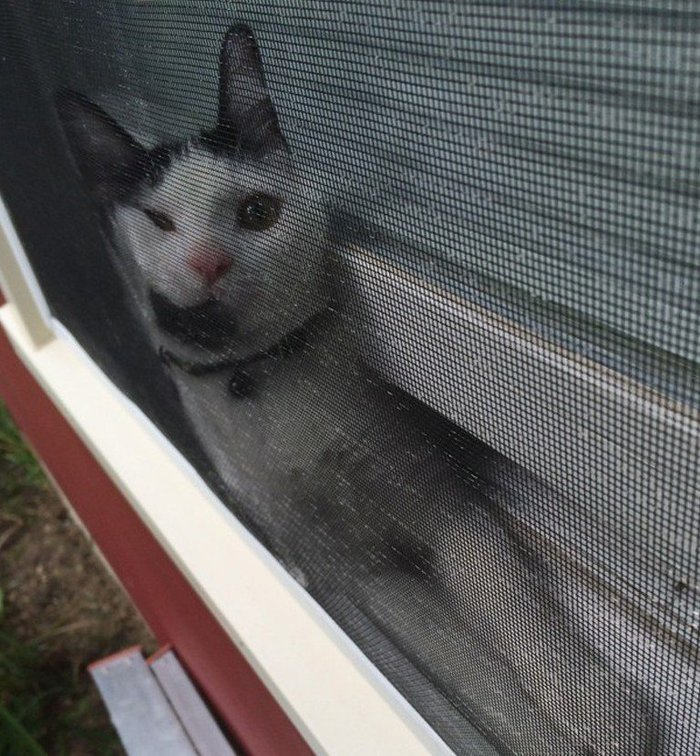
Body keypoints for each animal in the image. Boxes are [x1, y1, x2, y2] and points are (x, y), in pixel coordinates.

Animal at [56, 23, 696, 756]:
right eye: (158, 222)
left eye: (257, 211)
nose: (207, 263)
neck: (269, 382)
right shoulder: (360, 570)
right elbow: (459, 657)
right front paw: (542, 735)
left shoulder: (443, 504)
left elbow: (512, 611)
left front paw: (597, 711)